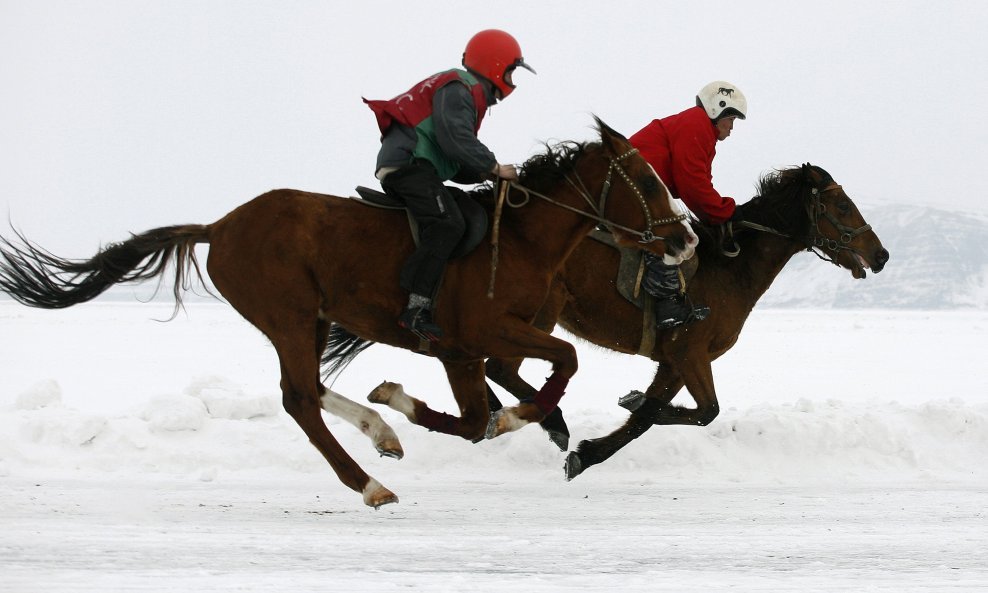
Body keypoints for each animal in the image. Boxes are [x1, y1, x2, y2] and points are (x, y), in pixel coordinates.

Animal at [0, 118, 696, 506]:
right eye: (647, 180)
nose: (686, 239)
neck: (519, 239)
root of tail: (220, 226)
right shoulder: (472, 338)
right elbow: (526, 387)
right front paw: (511, 418)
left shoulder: (479, 345)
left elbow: (517, 391)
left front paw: (401, 401)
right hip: (286, 313)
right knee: (300, 400)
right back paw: (369, 482)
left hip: (309, 319)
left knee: (304, 390)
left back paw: (380, 431)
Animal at [482, 164, 892, 478]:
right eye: (842, 205)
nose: (881, 254)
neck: (728, 269)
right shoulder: (689, 353)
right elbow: (705, 411)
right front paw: (618, 416)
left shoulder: (676, 362)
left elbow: (650, 416)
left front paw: (593, 450)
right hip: (540, 313)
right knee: (499, 368)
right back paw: (549, 421)